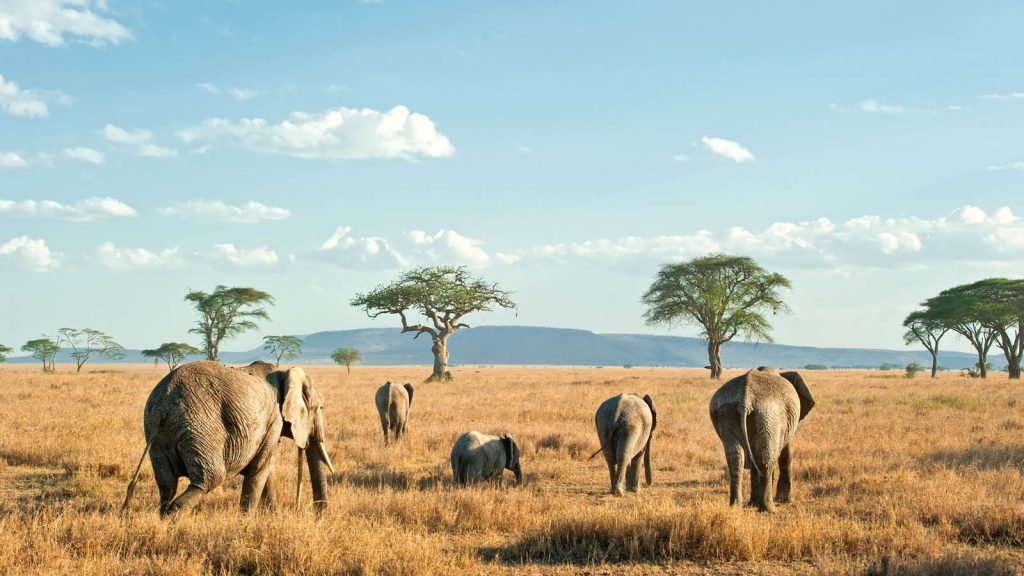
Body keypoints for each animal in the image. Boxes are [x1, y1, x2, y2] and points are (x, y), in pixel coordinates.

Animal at [121, 360, 336, 517]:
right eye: (320, 408)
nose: (318, 516)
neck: (284, 373)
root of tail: (163, 404)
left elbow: (267, 469)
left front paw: (274, 518)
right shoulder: (273, 419)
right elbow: (259, 470)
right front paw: (245, 522)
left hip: (155, 432)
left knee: (167, 484)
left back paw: (162, 518)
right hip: (200, 427)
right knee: (209, 479)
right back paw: (172, 520)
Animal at [709, 366, 815, 513]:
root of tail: (745, 400)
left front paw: (752, 504)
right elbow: (785, 454)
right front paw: (785, 501)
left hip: (726, 412)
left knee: (736, 458)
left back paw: (735, 507)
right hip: (768, 415)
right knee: (766, 459)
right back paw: (769, 509)